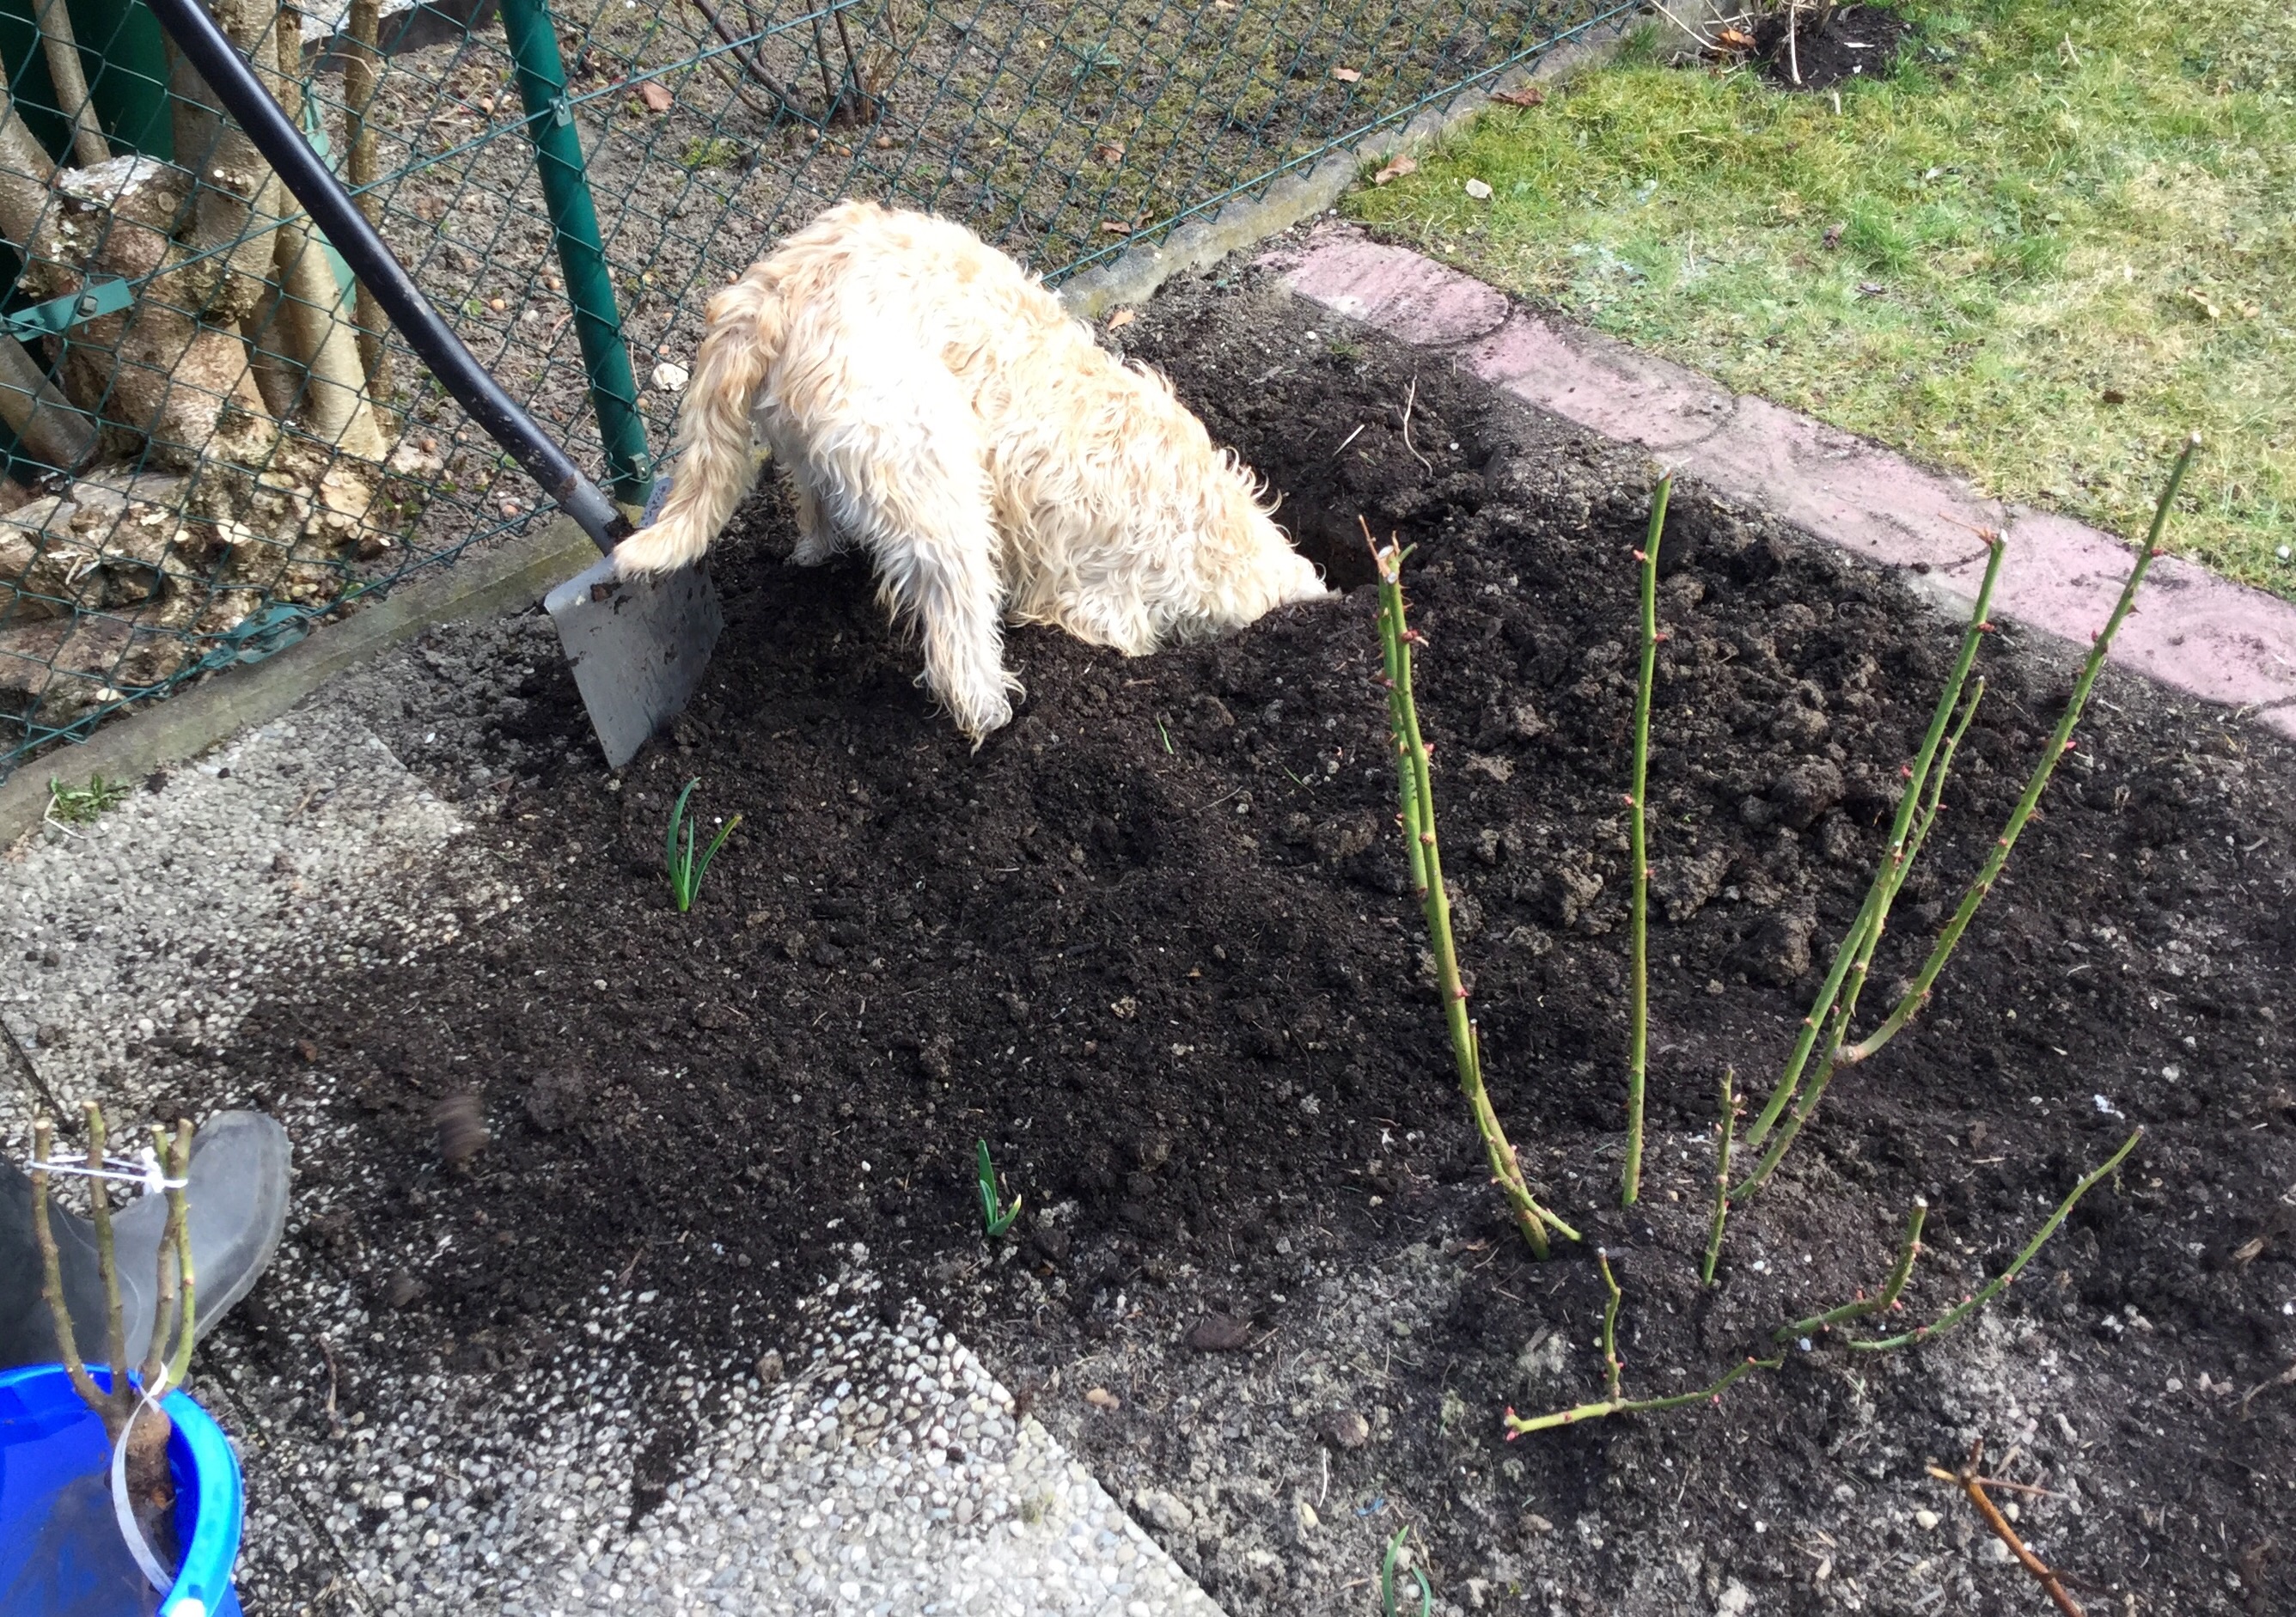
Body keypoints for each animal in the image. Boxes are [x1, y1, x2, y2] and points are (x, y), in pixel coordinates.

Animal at [610, 197, 1331, 744]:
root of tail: (777, 283)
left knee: (814, 498)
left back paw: (817, 548)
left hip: (813, 437)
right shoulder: (1101, 602)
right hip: (926, 464)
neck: (1212, 529)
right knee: (954, 610)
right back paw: (986, 705)